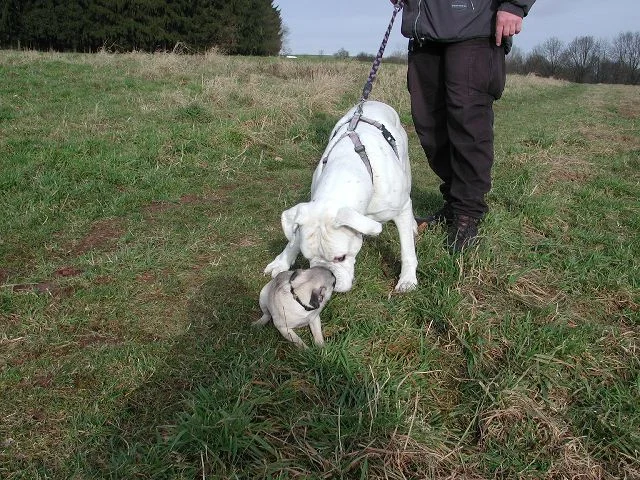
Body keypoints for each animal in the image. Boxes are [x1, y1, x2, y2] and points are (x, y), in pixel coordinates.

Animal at [264, 101, 418, 292]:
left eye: (341, 257)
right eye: (308, 258)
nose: (324, 276)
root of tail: (372, 101)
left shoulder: (400, 210)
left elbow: (407, 249)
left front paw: (407, 279)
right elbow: (294, 238)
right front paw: (281, 262)